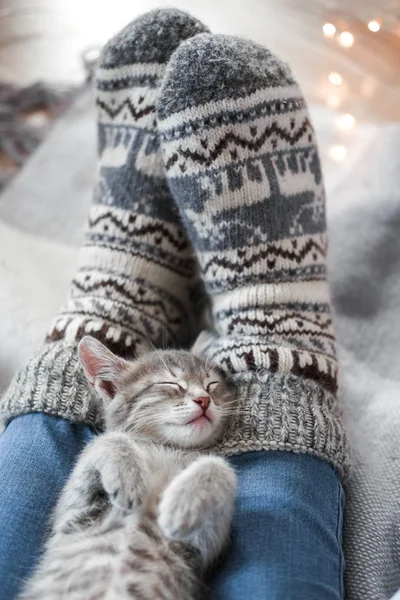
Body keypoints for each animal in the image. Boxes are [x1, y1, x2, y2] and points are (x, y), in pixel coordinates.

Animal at [19, 336, 238, 600]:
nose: (204, 400)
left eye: (211, 384)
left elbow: (219, 465)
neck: (167, 449)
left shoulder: (204, 549)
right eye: (170, 383)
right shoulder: (72, 514)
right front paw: (129, 478)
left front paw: (184, 504)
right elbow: (108, 439)